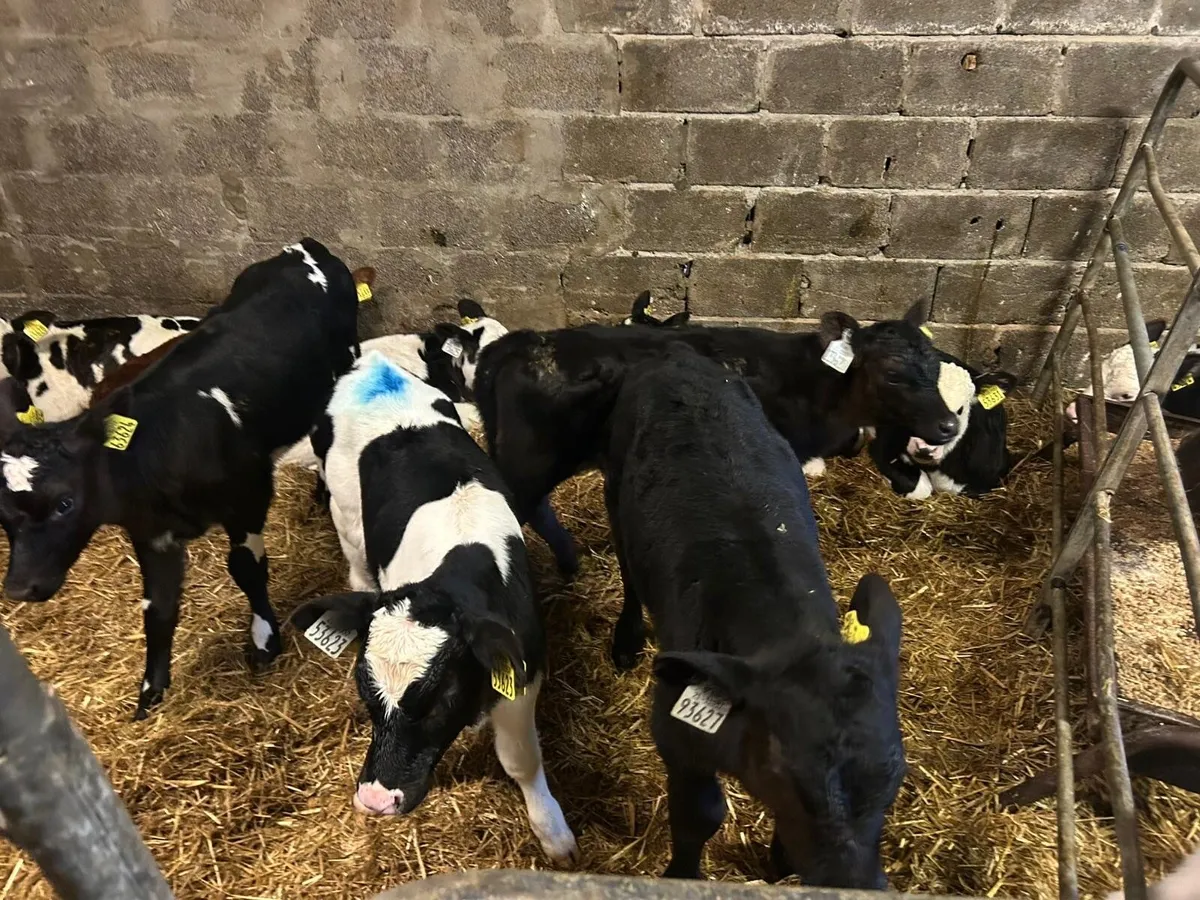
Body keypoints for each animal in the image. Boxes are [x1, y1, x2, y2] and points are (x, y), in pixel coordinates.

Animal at [288, 351, 578, 866]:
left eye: (438, 698)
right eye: (364, 690)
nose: (375, 800)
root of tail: (373, 364)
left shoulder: (522, 668)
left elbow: (521, 759)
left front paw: (553, 833)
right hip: (347, 520)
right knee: (357, 567)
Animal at [600, 344, 905, 887]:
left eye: (895, 776)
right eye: (785, 773)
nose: (857, 886)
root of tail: (677, 353)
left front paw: (780, 860)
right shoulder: (675, 733)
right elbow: (699, 814)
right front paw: (681, 874)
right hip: (615, 489)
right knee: (628, 571)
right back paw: (627, 639)